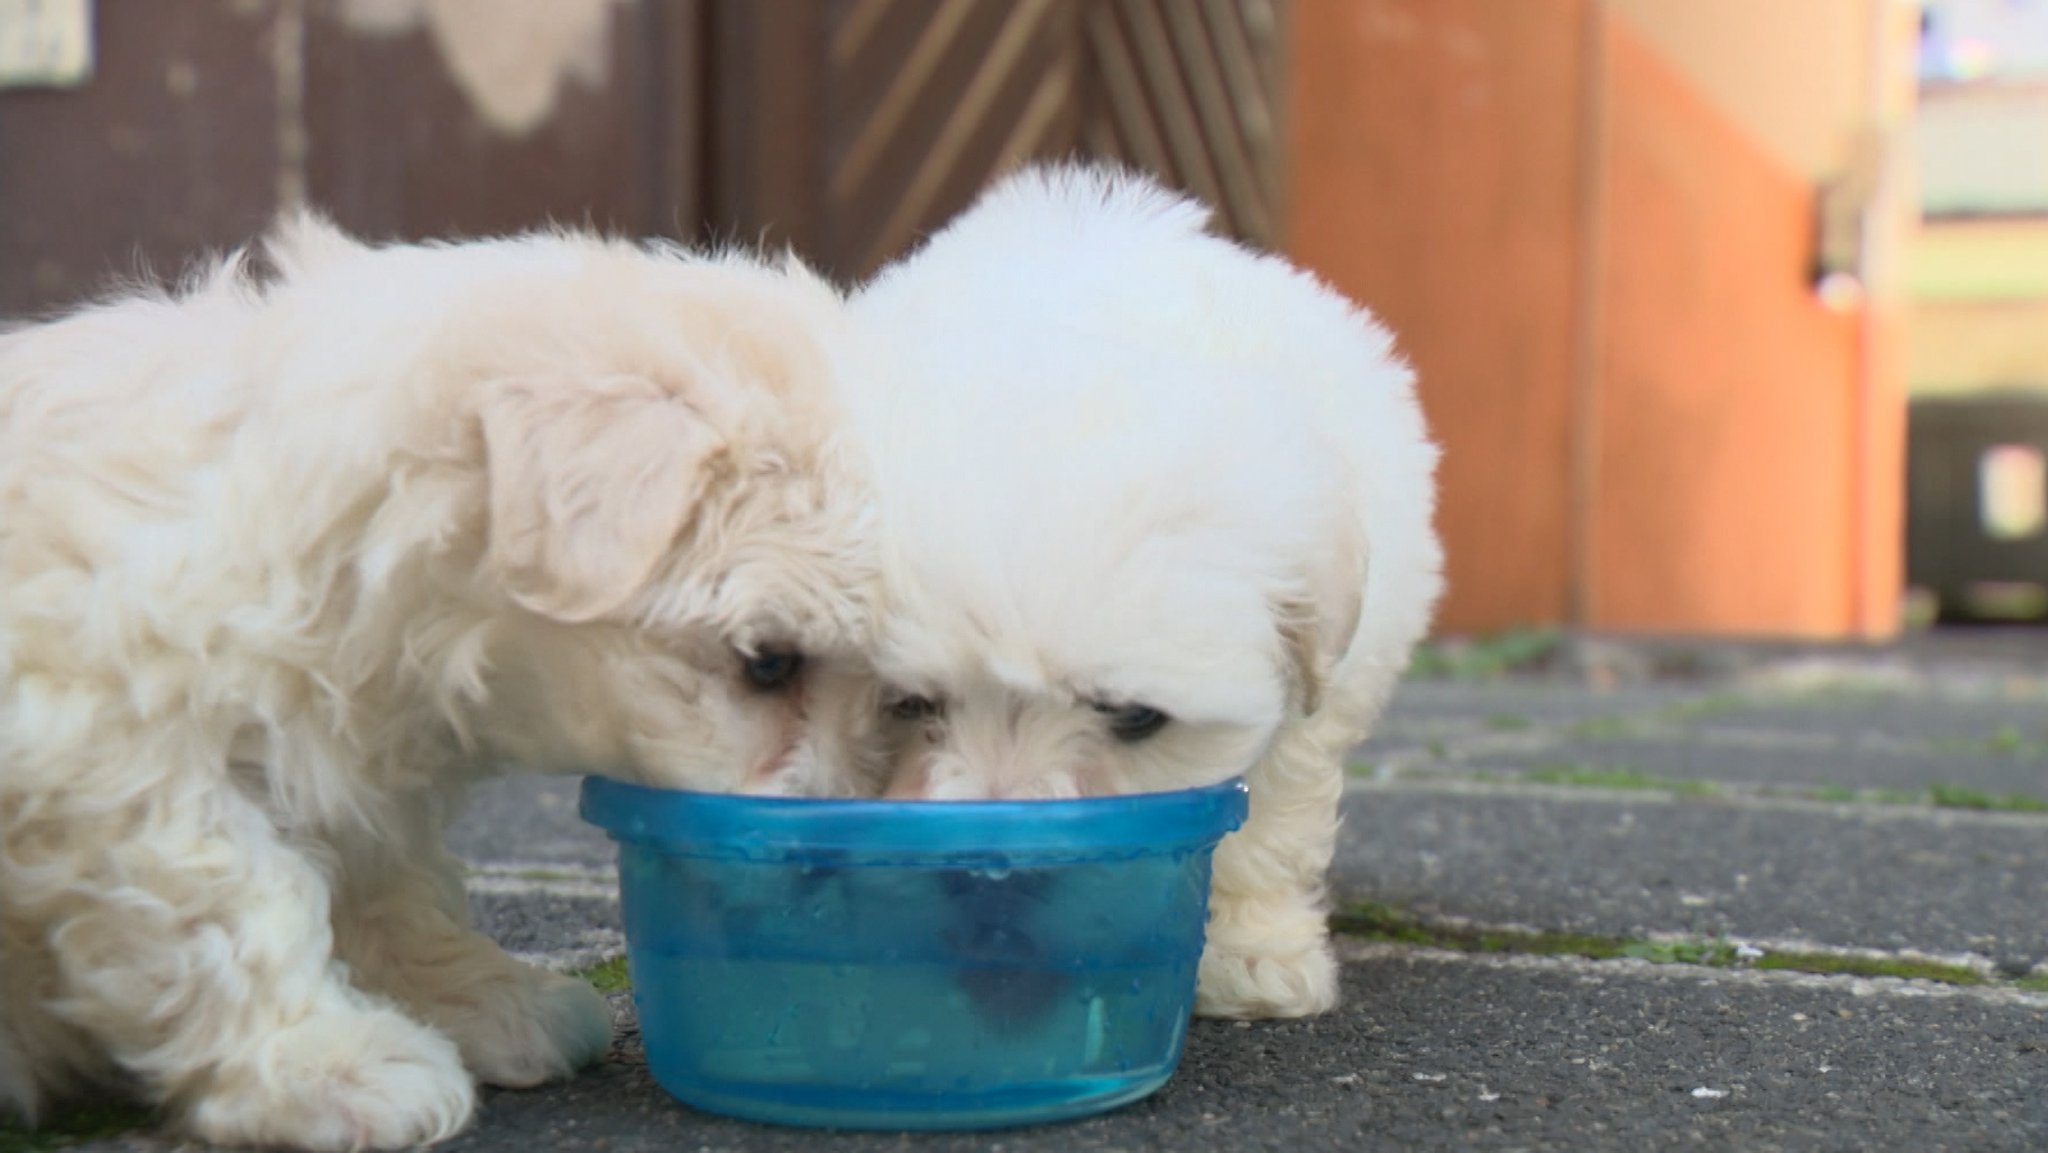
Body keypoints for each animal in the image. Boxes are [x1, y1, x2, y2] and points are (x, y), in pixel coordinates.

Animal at [0, 217, 872, 1146]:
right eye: (769, 662)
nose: (828, 876)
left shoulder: (363, 765)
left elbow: (389, 881)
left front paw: (477, 995)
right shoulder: (103, 739)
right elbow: (229, 896)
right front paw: (325, 1062)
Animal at [843, 164, 1441, 1019]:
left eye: (1135, 716)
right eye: (906, 702)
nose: (993, 878)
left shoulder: (1320, 687)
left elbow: (1269, 819)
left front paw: (1253, 956)